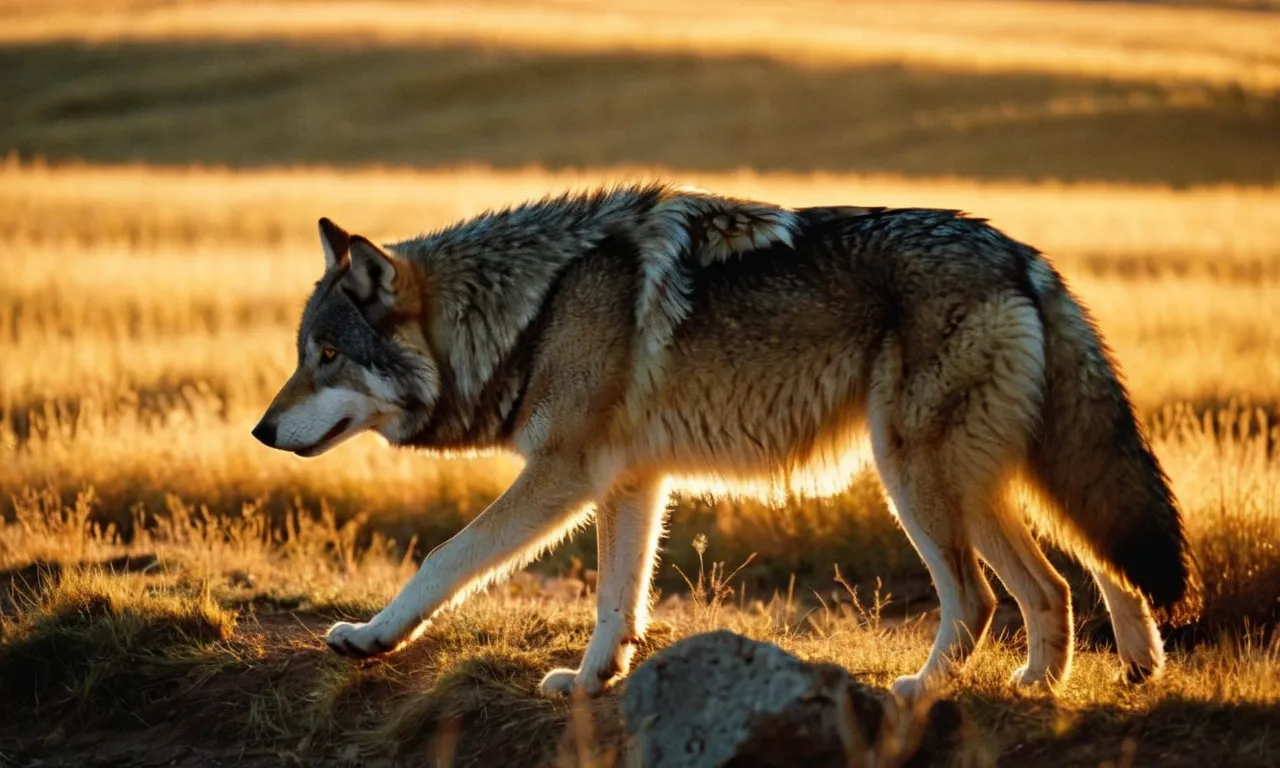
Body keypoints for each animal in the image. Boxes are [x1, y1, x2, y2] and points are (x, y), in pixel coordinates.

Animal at [252, 181, 1198, 701]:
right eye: (301, 354)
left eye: (327, 355)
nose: (259, 430)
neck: (531, 310)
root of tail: (1020, 254)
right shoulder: (633, 482)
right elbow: (618, 602)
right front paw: (592, 682)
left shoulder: (565, 474)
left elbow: (444, 558)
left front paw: (371, 638)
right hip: (982, 482)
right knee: (1074, 580)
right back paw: (1074, 678)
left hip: (918, 481)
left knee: (986, 598)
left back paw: (927, 692)